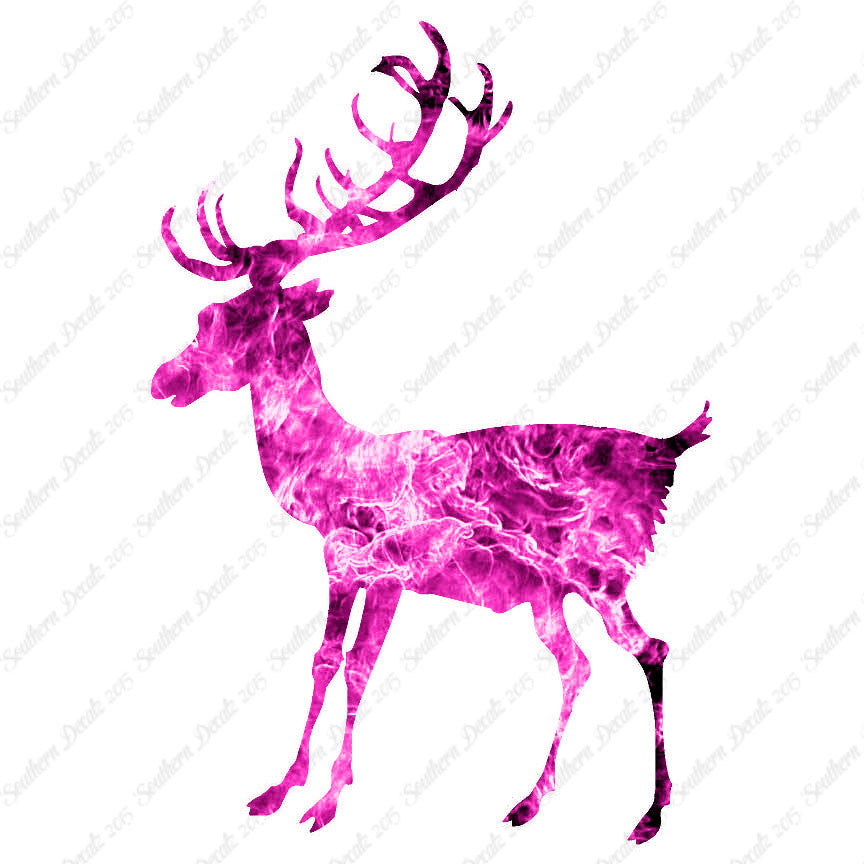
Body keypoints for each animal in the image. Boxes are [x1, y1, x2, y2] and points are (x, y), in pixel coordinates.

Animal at [151, 21, 711, 844]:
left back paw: (650, 813)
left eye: (235, 319)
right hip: (549, 594)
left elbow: (359, 668)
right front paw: (276, 790)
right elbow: (322, 662)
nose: (165, 380)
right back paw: (528, 800)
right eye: (205, 313)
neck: (334, 473)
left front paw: (327, 801)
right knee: (575, 663)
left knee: (652, 647)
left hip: (601, 571)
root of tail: (666, 451)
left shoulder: (389, 568)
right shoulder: (340, 564)